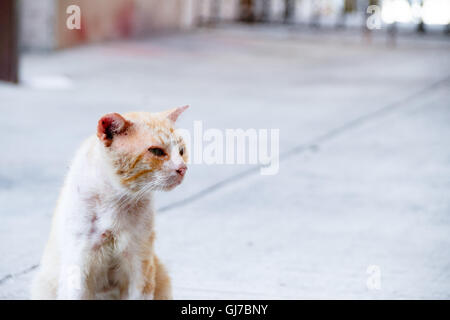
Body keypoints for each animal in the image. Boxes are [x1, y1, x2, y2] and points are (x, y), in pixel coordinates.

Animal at [29, 106, 188, 298]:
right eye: (157, 151)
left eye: (181, 151)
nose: (183, 168)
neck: (117, 199)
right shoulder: (78, 263)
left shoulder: (140, 265)